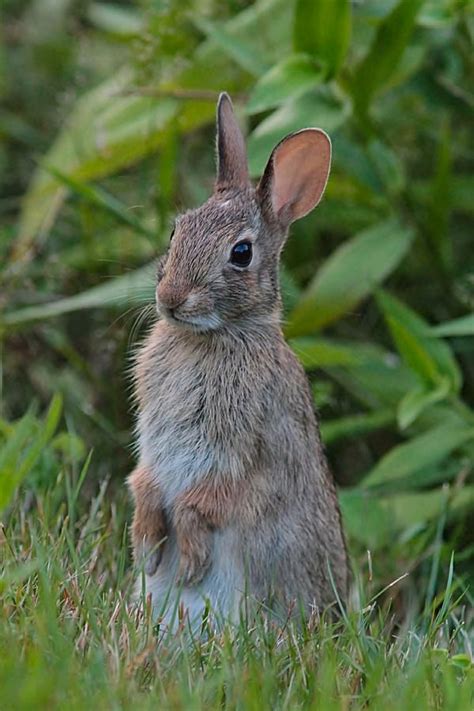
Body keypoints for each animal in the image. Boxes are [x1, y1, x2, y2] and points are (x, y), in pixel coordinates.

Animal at [129, 92, 348, 632]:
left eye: (242, 253)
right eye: (175, 232)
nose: (171, 299)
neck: (210, 336)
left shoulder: (241, 453)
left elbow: (204, 501)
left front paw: (189, 562)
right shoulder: (153, 446)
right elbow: (144, 481)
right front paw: (147, 548)